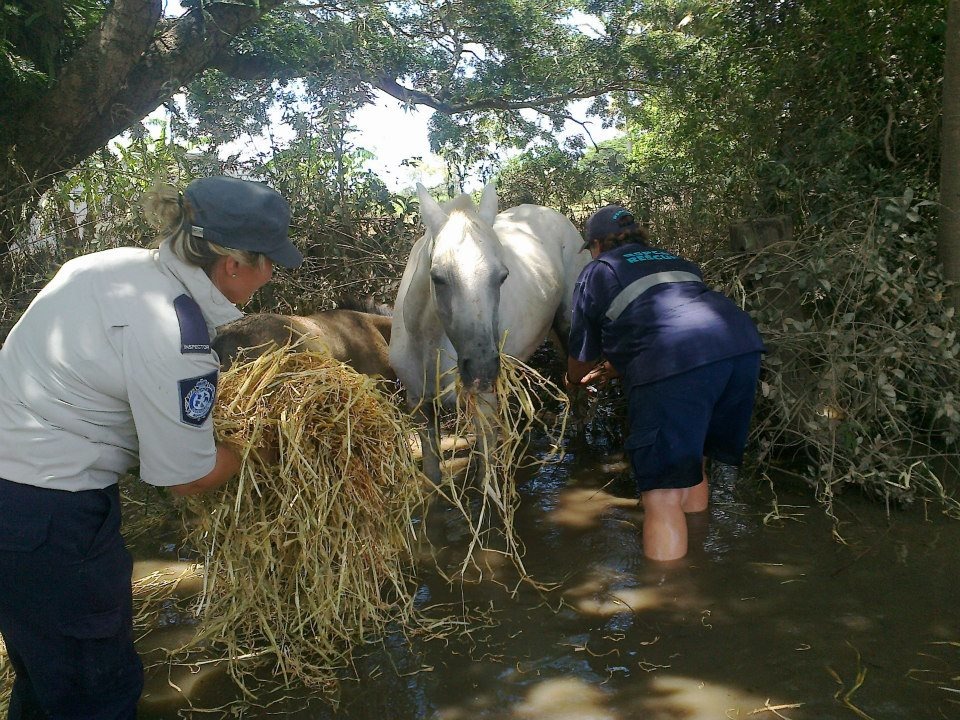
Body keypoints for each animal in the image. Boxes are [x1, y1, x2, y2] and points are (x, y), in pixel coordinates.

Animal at [389, 182, 589, 482]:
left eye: (503, 276)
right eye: (437, 277)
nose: (481, 370)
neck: (427, 343)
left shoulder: (481, 406)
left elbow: (486, 475)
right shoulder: (420, 406)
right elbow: (432, 477)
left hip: (568, 330)